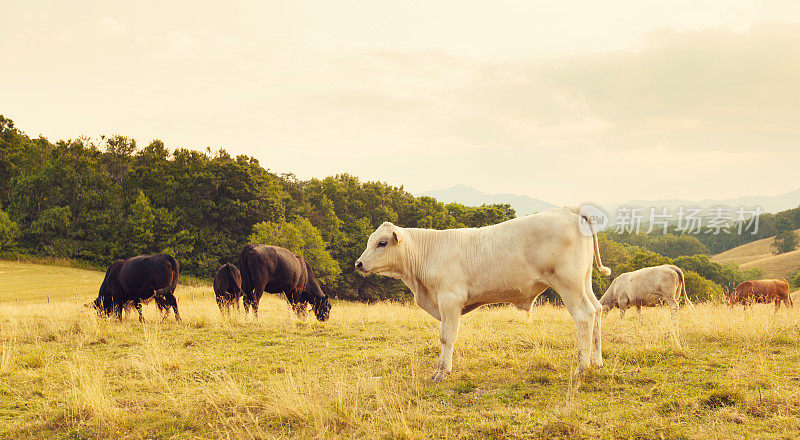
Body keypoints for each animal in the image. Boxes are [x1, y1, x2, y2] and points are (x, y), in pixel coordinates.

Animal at [356, 207, 612, 382]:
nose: (358, 263)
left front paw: (442, 372)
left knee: (584, 317)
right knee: (597, 311)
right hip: (584, 282)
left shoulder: (450, 300)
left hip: (569, 284)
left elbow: (447, 336)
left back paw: (582, 367)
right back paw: (597, 361)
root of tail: (569, 210)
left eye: (382, 243)